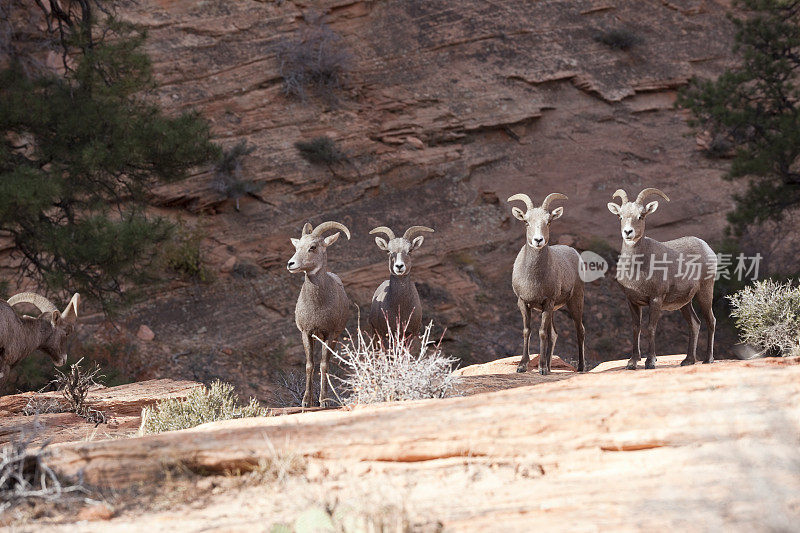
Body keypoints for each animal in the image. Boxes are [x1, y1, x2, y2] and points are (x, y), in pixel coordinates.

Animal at [288, 220, 350, 408]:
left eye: (313, 247)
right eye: (297, 246)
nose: (291, 264)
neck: (317, 305)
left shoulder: (329, 334)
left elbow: (323, 365)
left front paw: (323, 401)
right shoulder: (306, 333)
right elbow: (310, 365)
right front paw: (306, 402)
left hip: (334, 338)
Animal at [510, 192, 584, 374]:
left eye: (548, 221)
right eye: (526, 221)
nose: (538, 240)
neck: (534, 277)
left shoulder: (547, 302)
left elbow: (542, 332)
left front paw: (542, 368)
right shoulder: (523, 302)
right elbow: (527, 331)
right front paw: (522, 366)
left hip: (575, 301)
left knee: (580, 330)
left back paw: (580, 367)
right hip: (554, 310)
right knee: (555, 334)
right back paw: (551, 367)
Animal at [608, 188, 720, 370]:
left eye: (641, 216)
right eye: (620, 216)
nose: (628, 232)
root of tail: (706, 247)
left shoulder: (656, 299)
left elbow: (651, 327)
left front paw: (650, 362)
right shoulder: (632, 301)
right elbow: (636, 328)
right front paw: (632, 362)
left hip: (705, 292)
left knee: (711, 321)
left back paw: (708, 359)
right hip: (685, 303)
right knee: (694, 324)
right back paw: (688, 360)